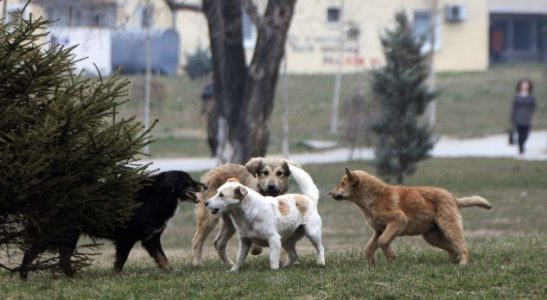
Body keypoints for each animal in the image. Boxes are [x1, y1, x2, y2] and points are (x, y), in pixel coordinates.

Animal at [19, 171, 206, 278]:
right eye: (188, 180)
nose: (205, 185)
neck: (157, 195)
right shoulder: (127, 239)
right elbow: (120, 261)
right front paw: (116, 276)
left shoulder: (151, 239)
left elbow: (162, 258)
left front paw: (169, 272)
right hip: (64, 235)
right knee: (35, 253)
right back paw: (24, 275)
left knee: (61, 259)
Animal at [330, 169, 492, 264]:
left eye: (342, 183)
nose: (330, 193)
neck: (374, 197)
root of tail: (453, 197)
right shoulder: (379, 230)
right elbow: (369, 248)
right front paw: (371, 265)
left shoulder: (398, 221)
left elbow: (382, 242)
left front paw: (392, 258)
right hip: (431, 236)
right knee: (452, 248)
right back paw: (451, 262)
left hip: (449, 226)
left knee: (462, 246)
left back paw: (463, 263)